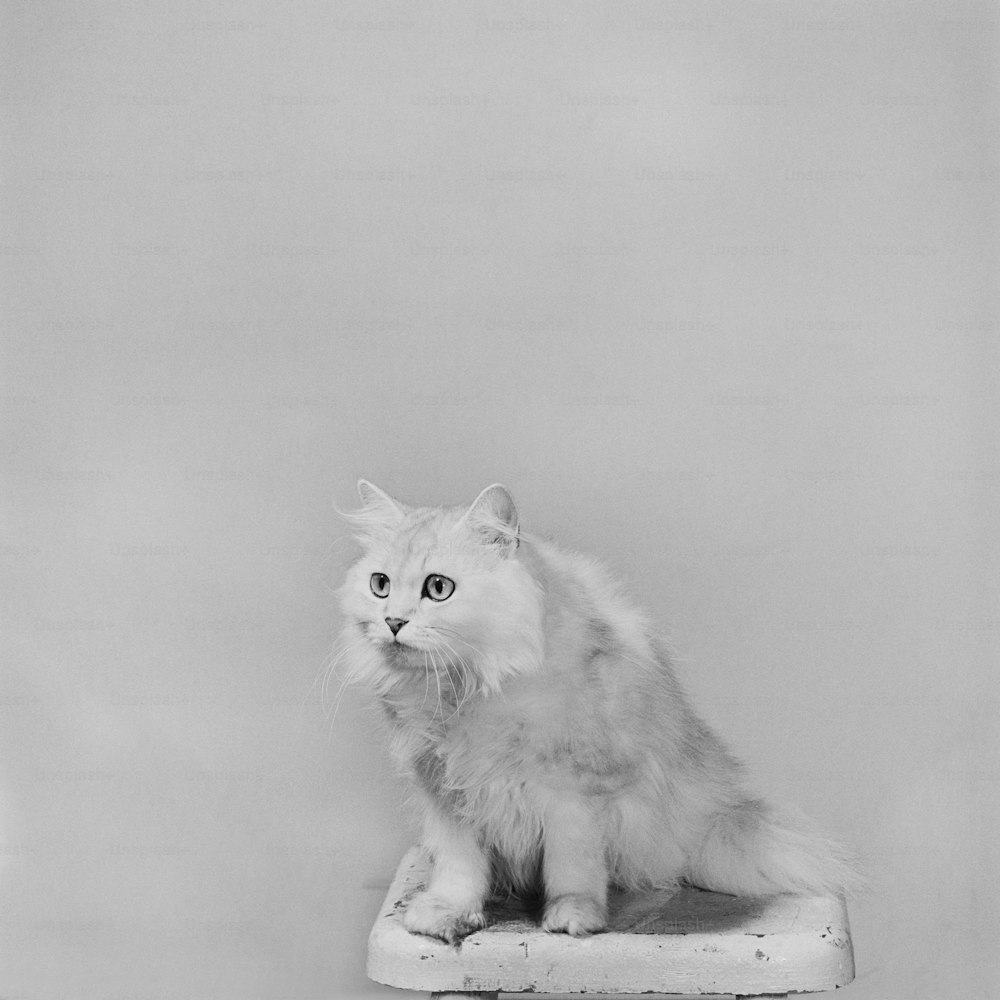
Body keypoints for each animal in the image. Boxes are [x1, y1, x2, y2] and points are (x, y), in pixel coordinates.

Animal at [338, 480, 860, 940]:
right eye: (380, 585)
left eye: (438, 588)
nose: (393, 622)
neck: (467, 687)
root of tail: (717, 815)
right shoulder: (448, 791)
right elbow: (459, 868)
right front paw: (447, 915)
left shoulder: (576, 791)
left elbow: (573, 867)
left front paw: (573, 918)